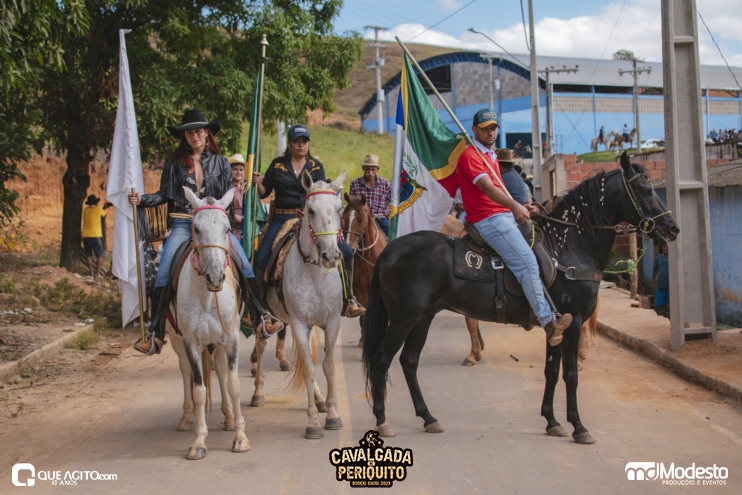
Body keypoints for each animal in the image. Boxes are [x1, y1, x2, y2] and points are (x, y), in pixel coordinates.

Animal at [174, 187, 250, 460]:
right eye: (196, 229)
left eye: (227, 229)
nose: (216, 277)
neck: (207, 297)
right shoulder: (190, 342)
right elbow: (198, 390)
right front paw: (199, 440)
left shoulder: (231, 339)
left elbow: (233, 384)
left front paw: (240, 436)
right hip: (176, 341)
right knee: (186, 372)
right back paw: (186, 418)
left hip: (219, 342)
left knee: (220, 369)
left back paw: (228, 417)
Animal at [253, 171, 346, 439]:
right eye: (311, 210)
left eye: (339, 208)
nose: (331, 256)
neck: (315, 273)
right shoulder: (298, 323)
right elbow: (308, 369)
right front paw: (313, 423)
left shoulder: (330, 322)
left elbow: (326, 366)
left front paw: (332, 415)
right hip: (267, 317)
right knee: (261, 346)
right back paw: (257, 393)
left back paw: (320, 399)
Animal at [342, 193, 388, 348]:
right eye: (344, 218)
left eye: (360, 219)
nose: (348, 247)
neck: (368, 254)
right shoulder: (360, 290)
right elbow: (364, 316)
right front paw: (364, 340)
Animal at [362, 152, 679, 444]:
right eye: (646, 190)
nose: (672, 228)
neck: (569, 248)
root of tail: (390, 251)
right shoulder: (573, 323)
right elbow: (570, 374)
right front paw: (578, 426)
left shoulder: (556, 327)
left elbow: (551, 370)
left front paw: (552, 421)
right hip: (403, 319)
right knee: (381, 360)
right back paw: (382, 420)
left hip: (423, 318)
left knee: (409, 362)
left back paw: (427, 417)